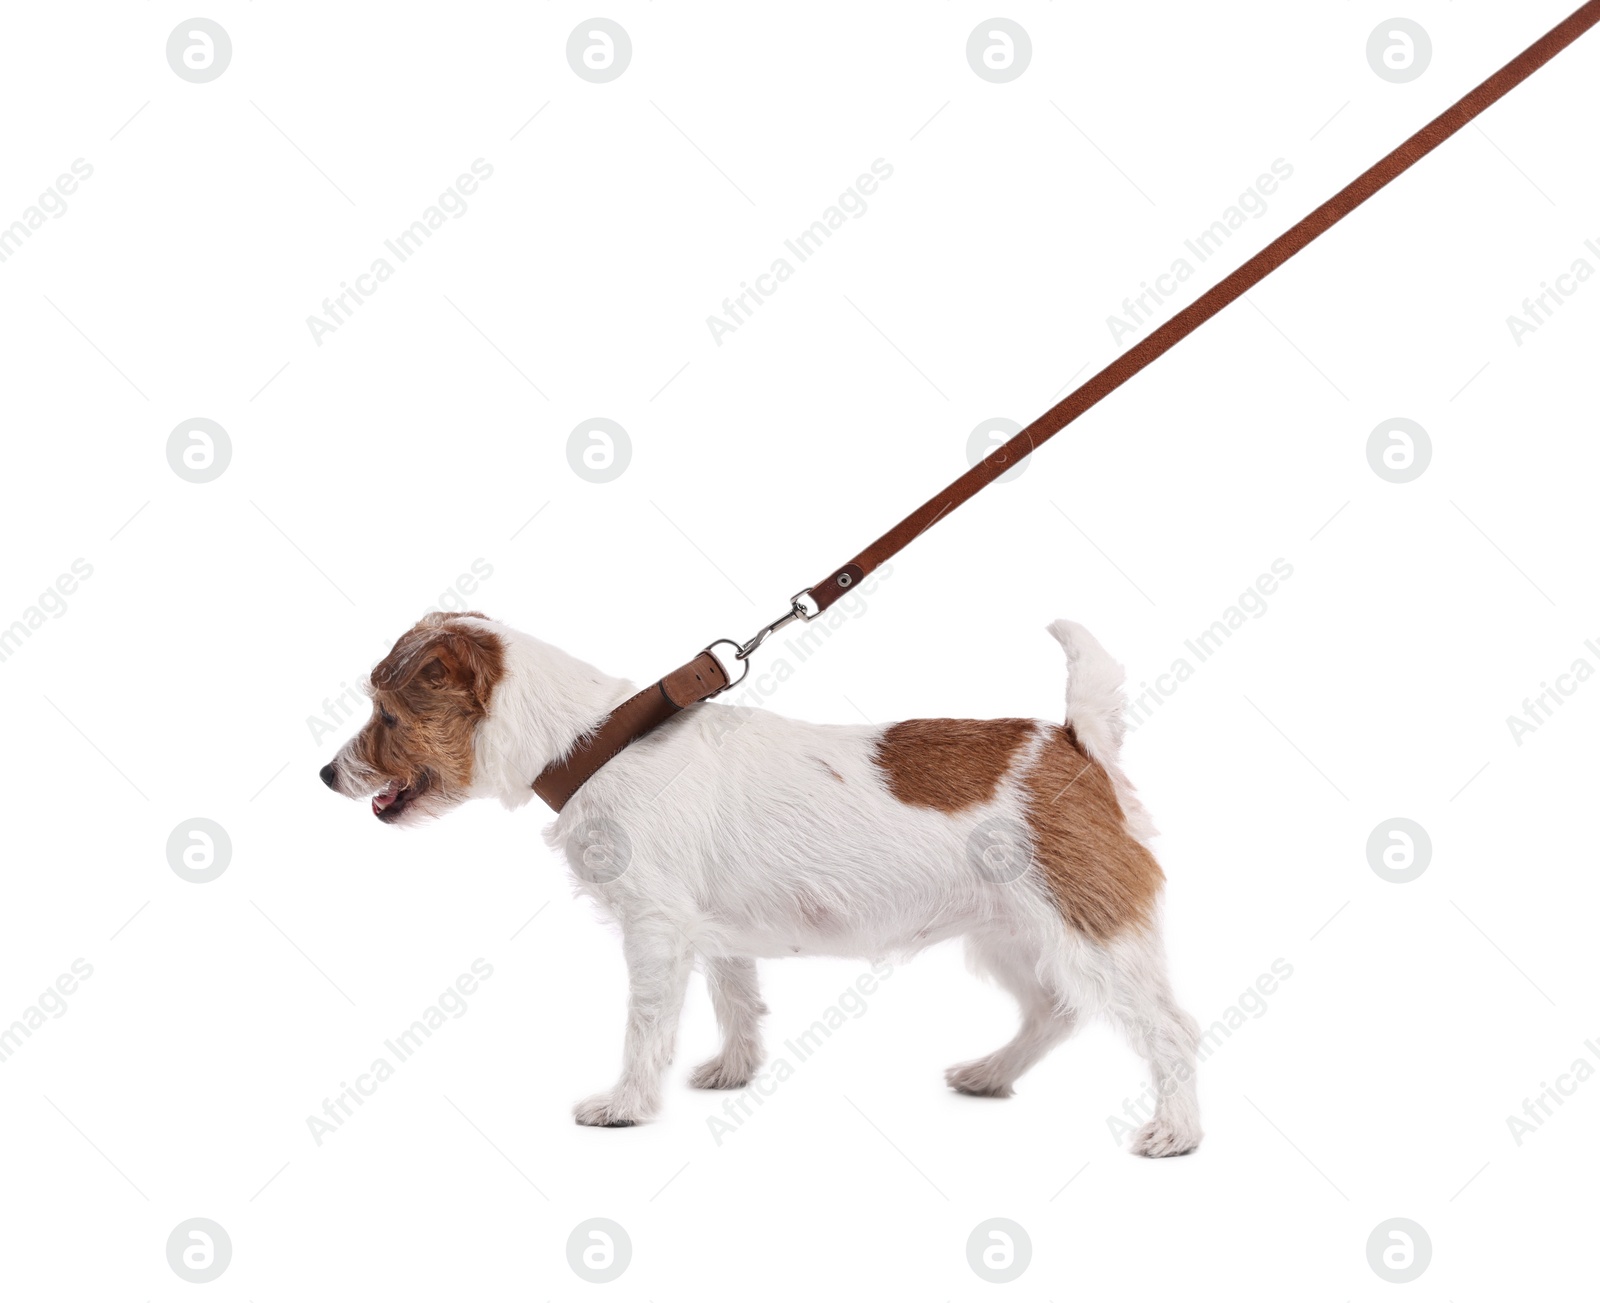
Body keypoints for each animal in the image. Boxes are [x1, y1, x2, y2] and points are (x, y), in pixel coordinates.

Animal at [321, 608, 1203, 1158]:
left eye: (388, 716)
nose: (327, 773)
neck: (593, 740)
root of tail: (1076, 743)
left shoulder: (656, 932)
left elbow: (645, 1028)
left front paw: (626, 1104)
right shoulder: (715, 932)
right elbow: (737, 998)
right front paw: (735, 1069)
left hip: (1089, 931)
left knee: (1170, 1031)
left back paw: (1177, 1132)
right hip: (1012, 935)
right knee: (1054, 1011)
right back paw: (990, 1073)